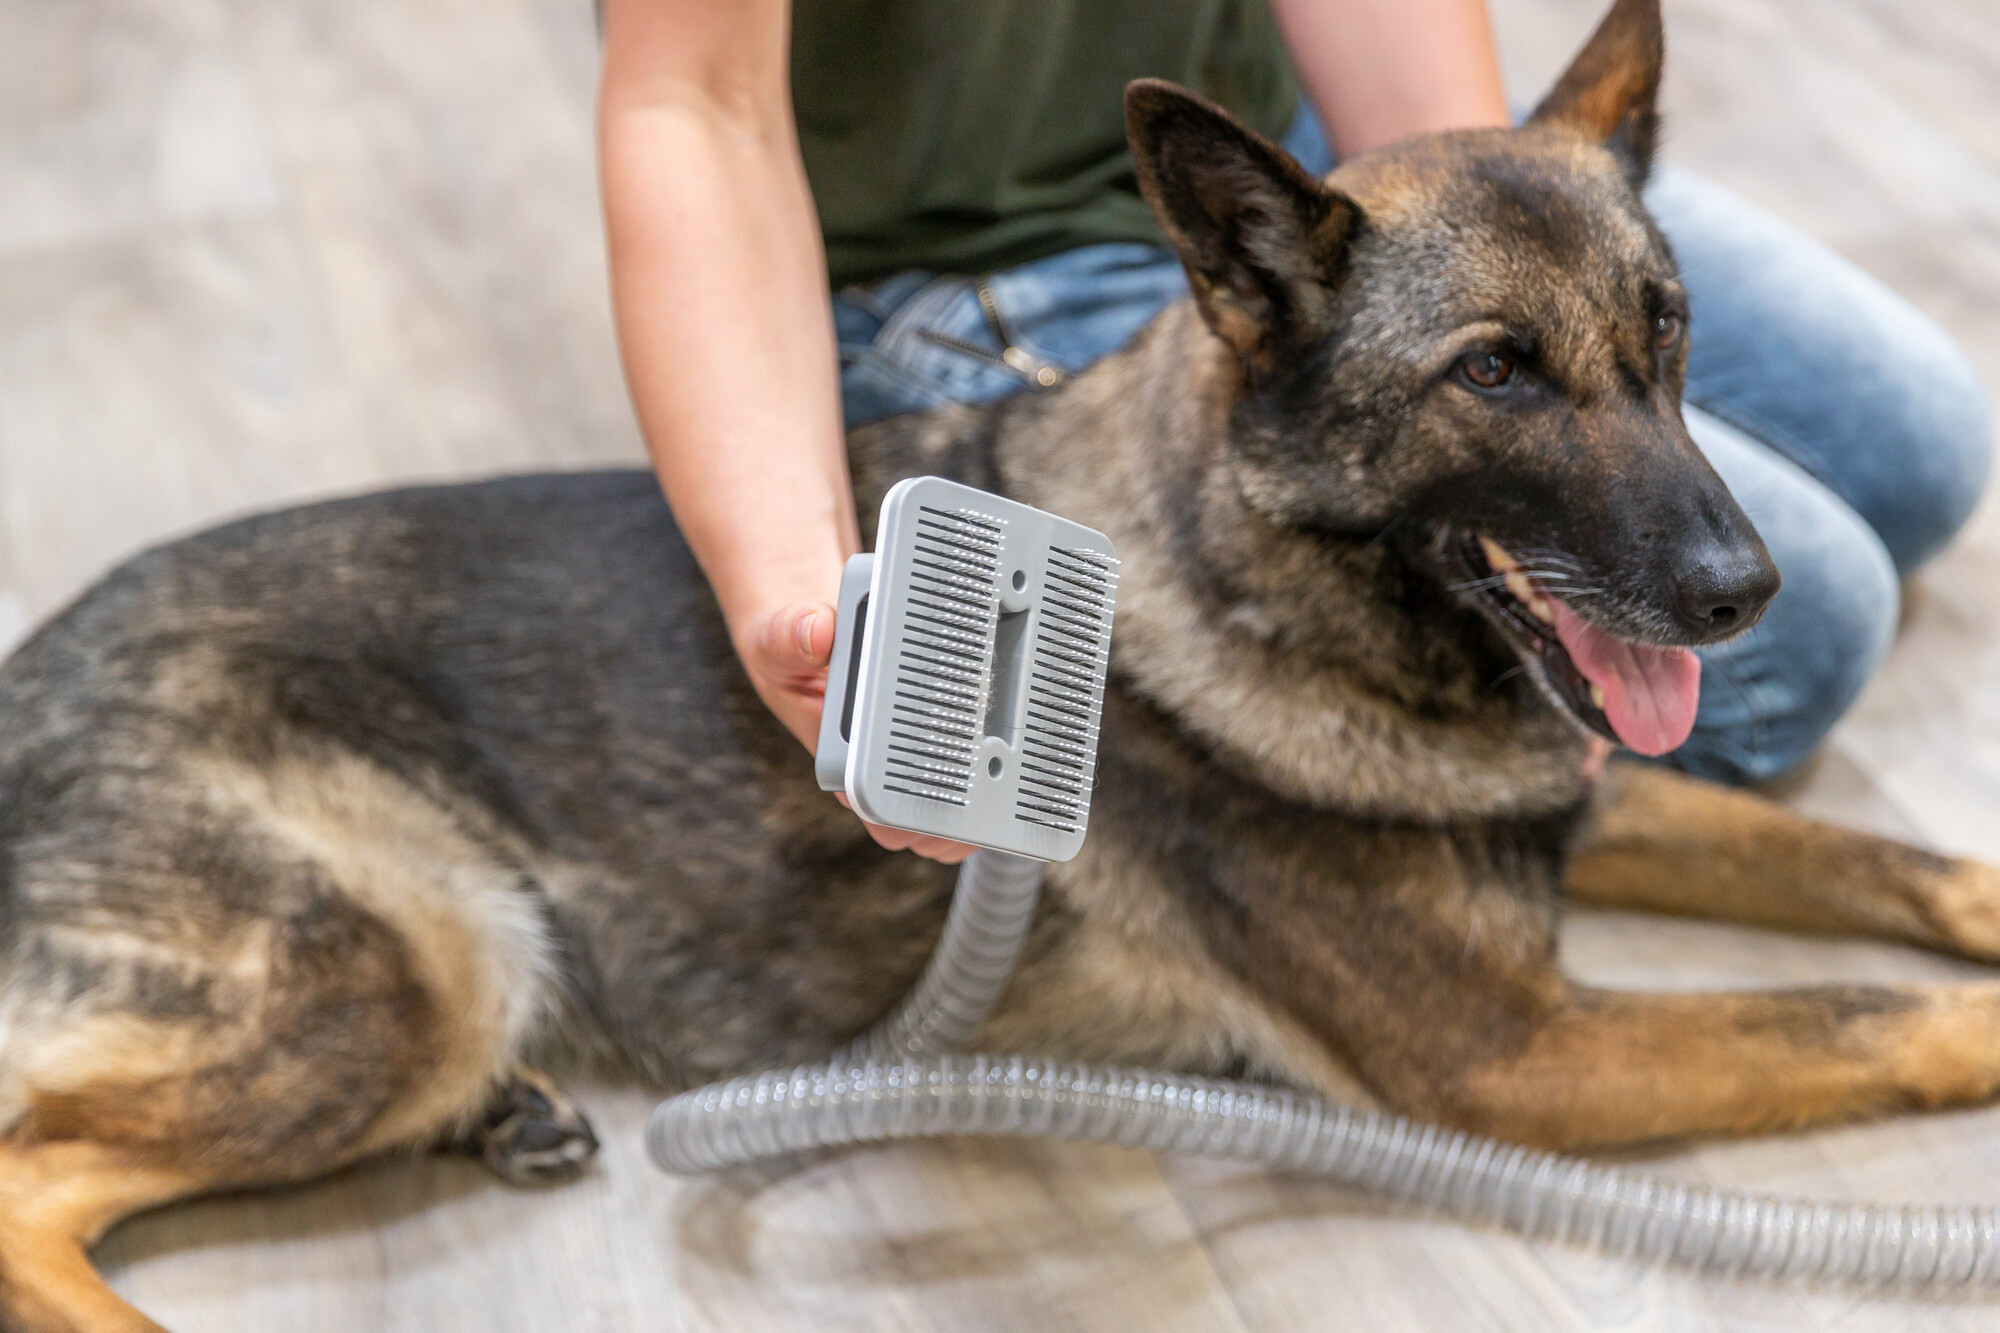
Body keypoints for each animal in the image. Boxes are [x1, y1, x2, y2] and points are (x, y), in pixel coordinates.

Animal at [3, 2, 2000, 1320]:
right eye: (1496, 374)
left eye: (1670, 337)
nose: (1746, 592)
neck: (1253, 575)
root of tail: (27, 671)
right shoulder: (1516, 1054)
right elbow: (1855, 1008)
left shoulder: (1580, 799)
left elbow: (1866, 858)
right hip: (400, 975)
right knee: (33, 1175)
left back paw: (511, 1117)